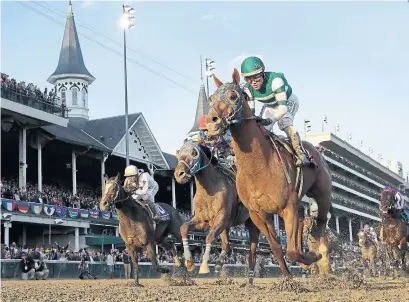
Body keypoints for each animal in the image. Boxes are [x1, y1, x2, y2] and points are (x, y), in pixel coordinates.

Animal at [173, 140, 258, 284]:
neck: (210, 190)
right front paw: (189, 262)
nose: (179, 174)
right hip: (227, 227)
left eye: (194, 153)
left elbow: (209, 237)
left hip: (252, 223)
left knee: (252, 252)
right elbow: (183, 228)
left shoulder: (220, 220)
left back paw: (250, 280)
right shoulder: (202, 221)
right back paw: (219, 265)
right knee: (227, 246)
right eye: (178, 153)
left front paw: (204, 267)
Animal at [204, 69, 332, 278]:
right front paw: (288, 278)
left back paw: (319, 250)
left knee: (321, 221)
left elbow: (293, 251)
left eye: (233, 96)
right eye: (211, 98)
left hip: (323, 194)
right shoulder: (258, 215)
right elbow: (278, 248)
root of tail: (317, 150)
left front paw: (311, 258)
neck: (258, 167)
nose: (211, 123)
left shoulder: (287, 207)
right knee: (300, 227)